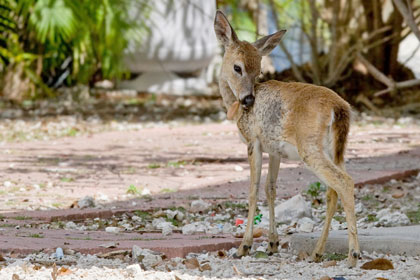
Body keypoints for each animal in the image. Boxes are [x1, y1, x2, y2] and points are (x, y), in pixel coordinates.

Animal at [213, 10, 360, 268]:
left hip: (309, 147)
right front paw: (272, 244)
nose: (249, 99)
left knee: (344, 182)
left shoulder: (253, 141)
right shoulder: (274, 150)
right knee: (332, 191)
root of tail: (340, 108)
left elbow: (253, 190)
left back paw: (353, 255)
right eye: (238, 67)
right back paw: (317, 252)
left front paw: (244, 247)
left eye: (258, 70)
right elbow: (271, 188)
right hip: (335, 149)